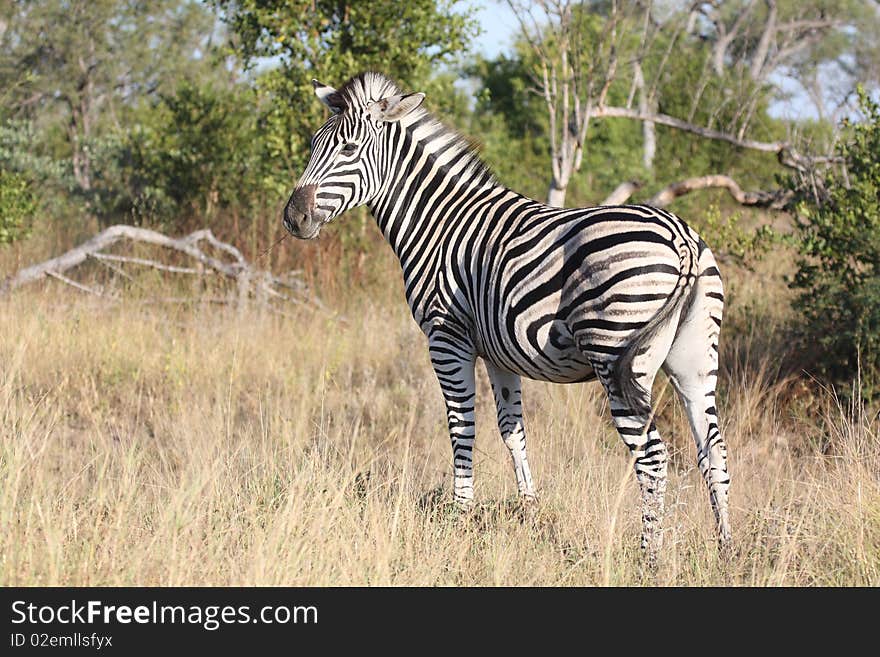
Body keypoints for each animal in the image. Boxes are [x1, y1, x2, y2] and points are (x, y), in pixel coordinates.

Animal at [286, 72, 732, 552]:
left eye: (349, 149)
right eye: (313, 144)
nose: (293, 217)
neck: (438, 222)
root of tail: (681, 237)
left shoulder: (447, 338)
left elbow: (461, 425)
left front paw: (458, 517)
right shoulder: (500, 352)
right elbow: (511, 429)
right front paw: (530, 512)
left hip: (617, 354)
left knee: (652, 456)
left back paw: (648, 553)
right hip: (694, 357)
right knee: (713, 450)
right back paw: (725, 548)